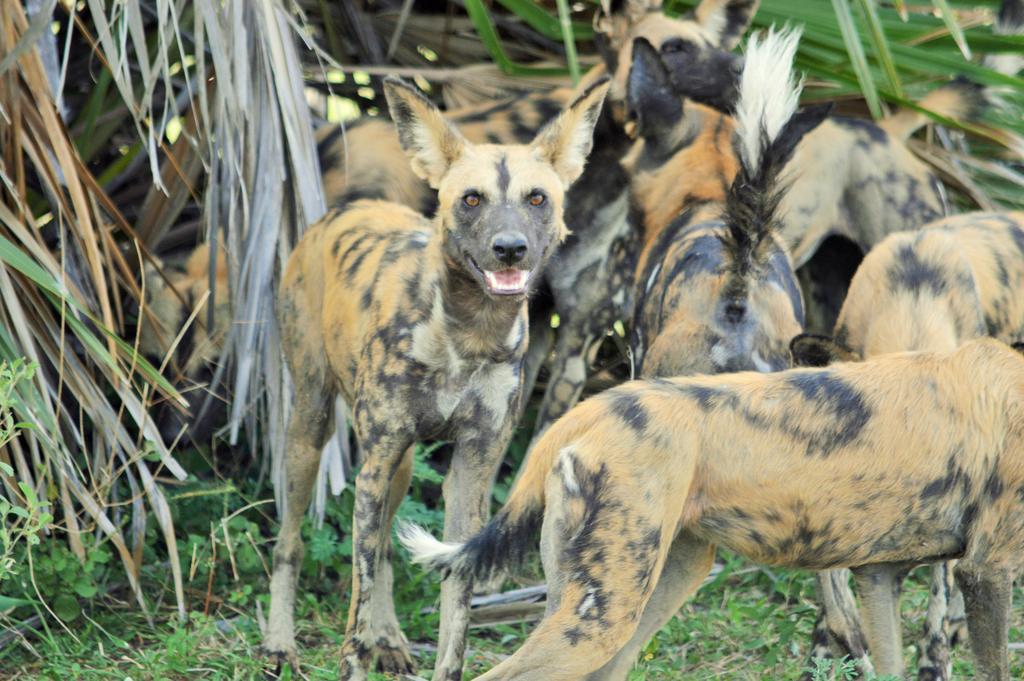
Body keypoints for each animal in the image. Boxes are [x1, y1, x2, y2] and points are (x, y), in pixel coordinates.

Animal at [264, 75, 610, 679]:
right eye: (471, 199)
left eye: (536, 199)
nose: (509, 248)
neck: (469, 338)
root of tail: (346, 208)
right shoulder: (375, 464)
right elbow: (354, 606)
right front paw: (354, 658)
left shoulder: (471, 471)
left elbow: (455, 607)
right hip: (313, 430)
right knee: (292, 541)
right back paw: (280, 642)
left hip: (398, 464)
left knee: (381, 547)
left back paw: (390, 637)